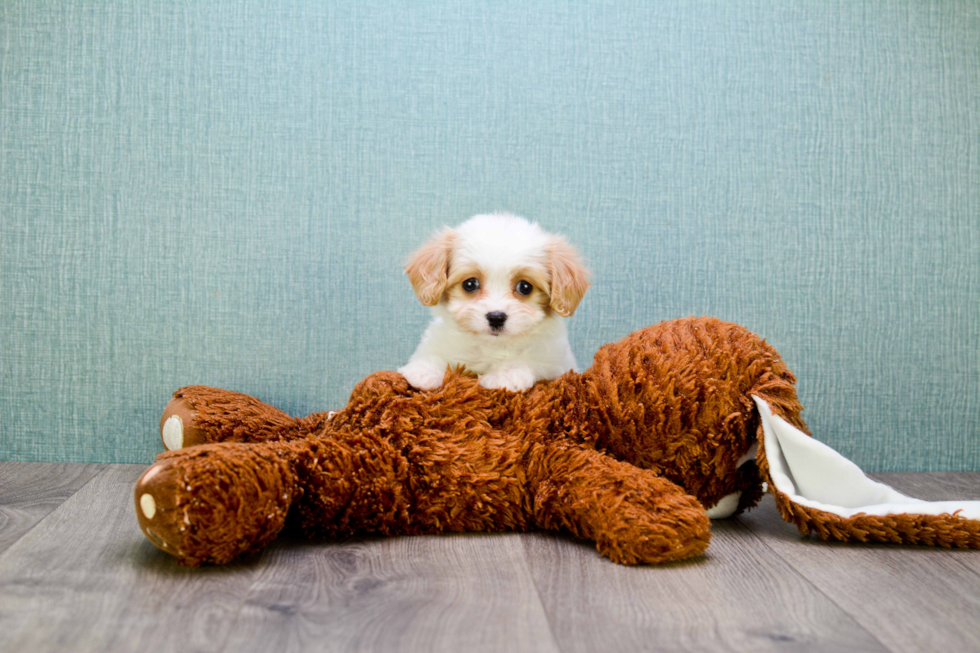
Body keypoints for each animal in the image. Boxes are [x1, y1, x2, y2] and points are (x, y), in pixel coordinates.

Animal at [398, 211, 588, 390]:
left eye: (525, 287)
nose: (496, 317)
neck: (490, 345)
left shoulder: (555, 362)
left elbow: (528, 357)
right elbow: (433, 352)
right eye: (470, 284)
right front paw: (423, 371)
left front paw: (505, 375)